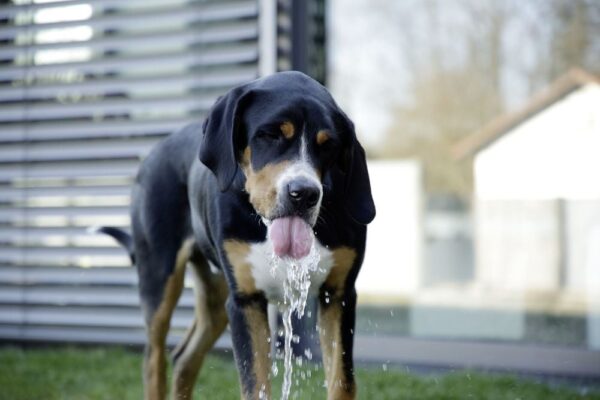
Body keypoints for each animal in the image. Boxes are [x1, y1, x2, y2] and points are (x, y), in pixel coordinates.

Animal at [101, 72, 376, 400]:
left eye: (328, 145)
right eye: (269, 135)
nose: (304, 193)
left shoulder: (338, 295)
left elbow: (342, 381)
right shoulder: (246, 301)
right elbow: (255, 384)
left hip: (217, 297)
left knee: (184, 358)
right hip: (159, 278)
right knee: (154, 359)